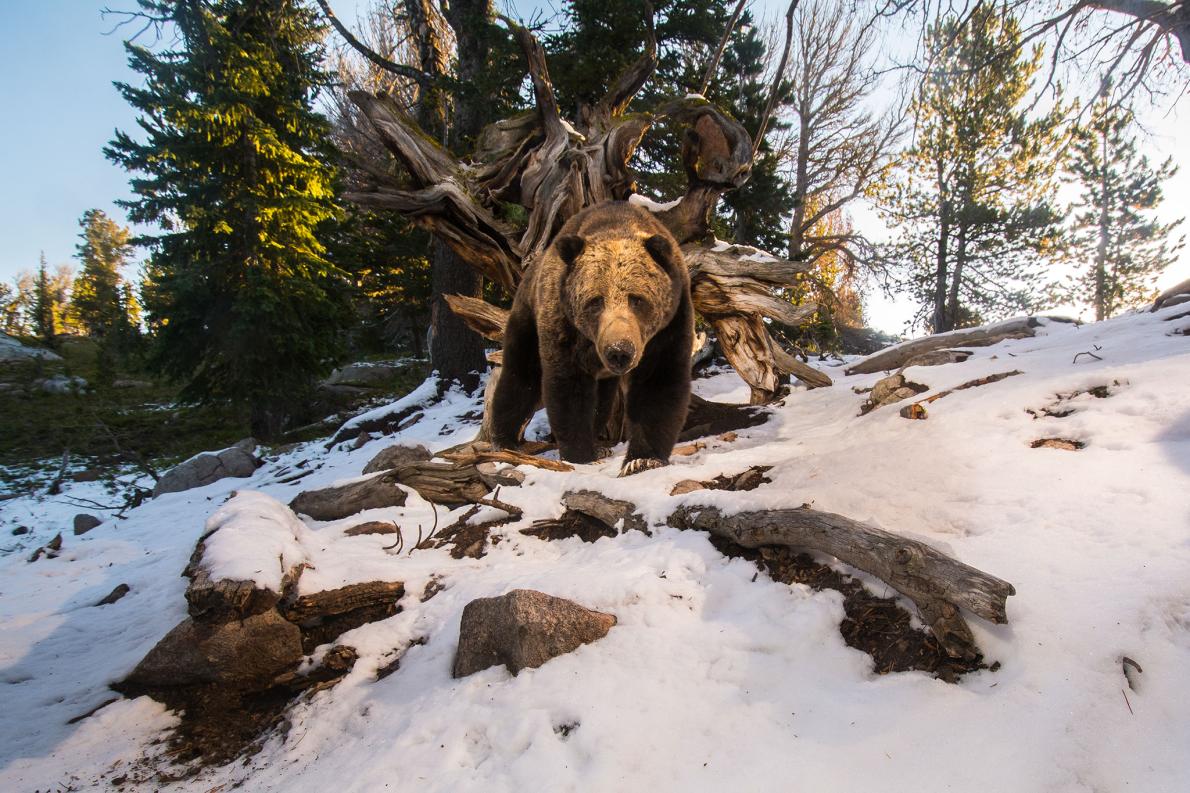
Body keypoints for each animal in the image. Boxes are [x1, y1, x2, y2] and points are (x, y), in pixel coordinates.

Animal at [487, 201, 694, 471]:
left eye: (637, 299)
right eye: (596, 301)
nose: (619, 350)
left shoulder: (669, 326)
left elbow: (658, 383)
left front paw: (642, 459)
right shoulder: (563, 325)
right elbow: (568, 389)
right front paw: (580, 455)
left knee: (602, 399)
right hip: (527, 316)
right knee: (521, 375)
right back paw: (504, 441)